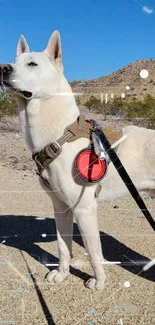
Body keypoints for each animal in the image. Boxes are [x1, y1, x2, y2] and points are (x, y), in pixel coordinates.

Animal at [0, 31, 155, 288]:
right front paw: (62, 275)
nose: (3, 68)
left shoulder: (84, 208)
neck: (59, 135)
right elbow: (64, 247)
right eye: (14, 61)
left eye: (32, 64)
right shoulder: (61, 207)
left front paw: (99, 282)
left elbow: (93, 252)